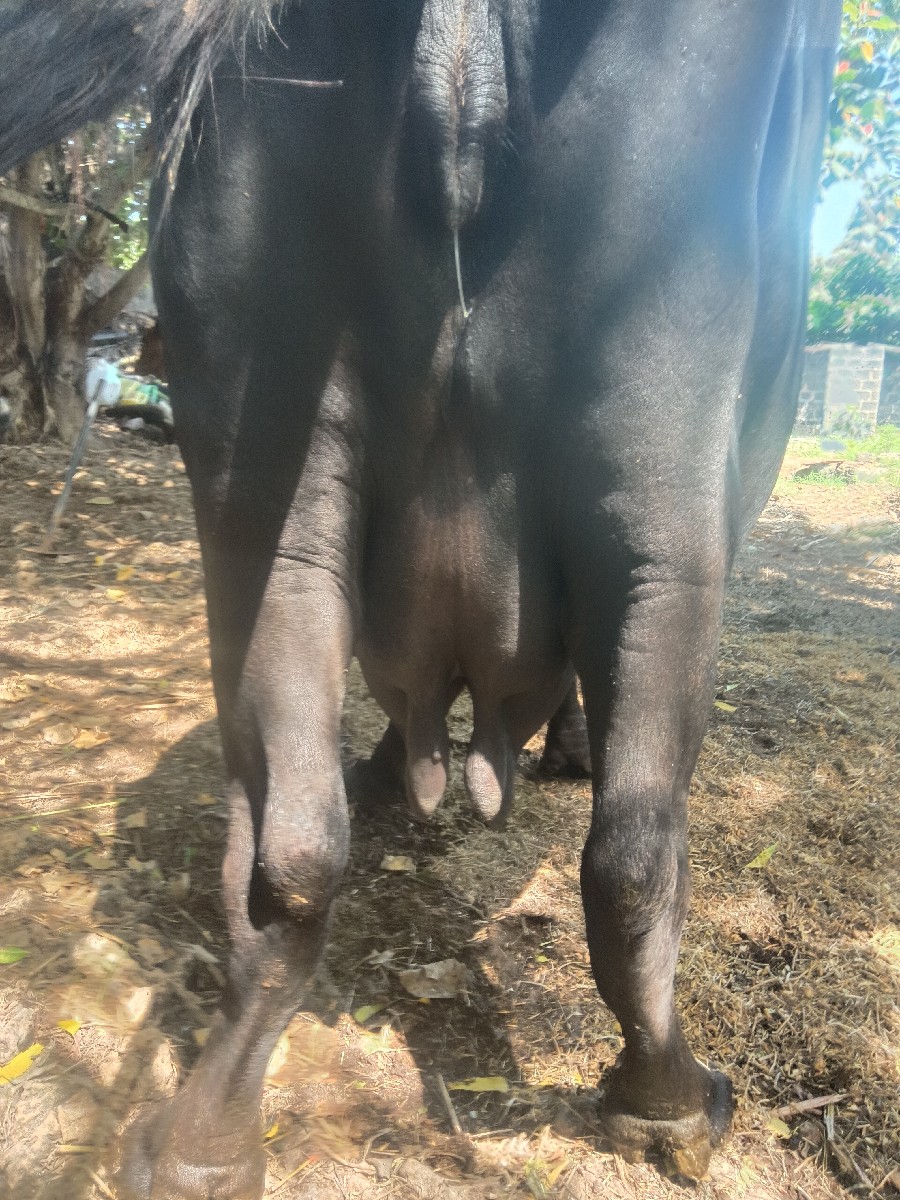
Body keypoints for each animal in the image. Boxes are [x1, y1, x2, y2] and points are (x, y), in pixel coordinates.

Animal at [0, 2, 840, 1196]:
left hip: (269, 486)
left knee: (297, 849)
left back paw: (202, 1139)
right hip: (665, 469)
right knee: (637, 850)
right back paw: (670, 1100)